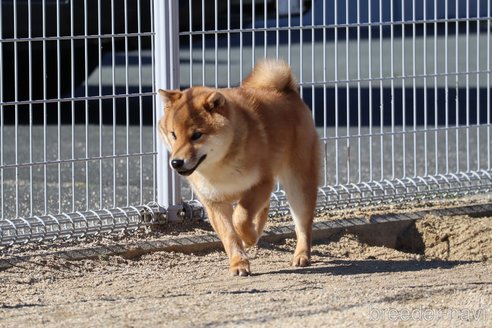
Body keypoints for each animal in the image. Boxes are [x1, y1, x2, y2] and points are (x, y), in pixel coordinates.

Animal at [158, 59, 320, 276]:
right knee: (266, 207)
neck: (219, 166)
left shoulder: (260, 183)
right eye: (173, 134)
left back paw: (301, 255)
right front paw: (239, 263)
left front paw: (248, 237)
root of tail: (286, 89)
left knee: (302, 224)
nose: (176, 162)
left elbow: (240, 218)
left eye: (197, 135)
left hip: (298, 183)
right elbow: (229, 235)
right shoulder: (214, 202)